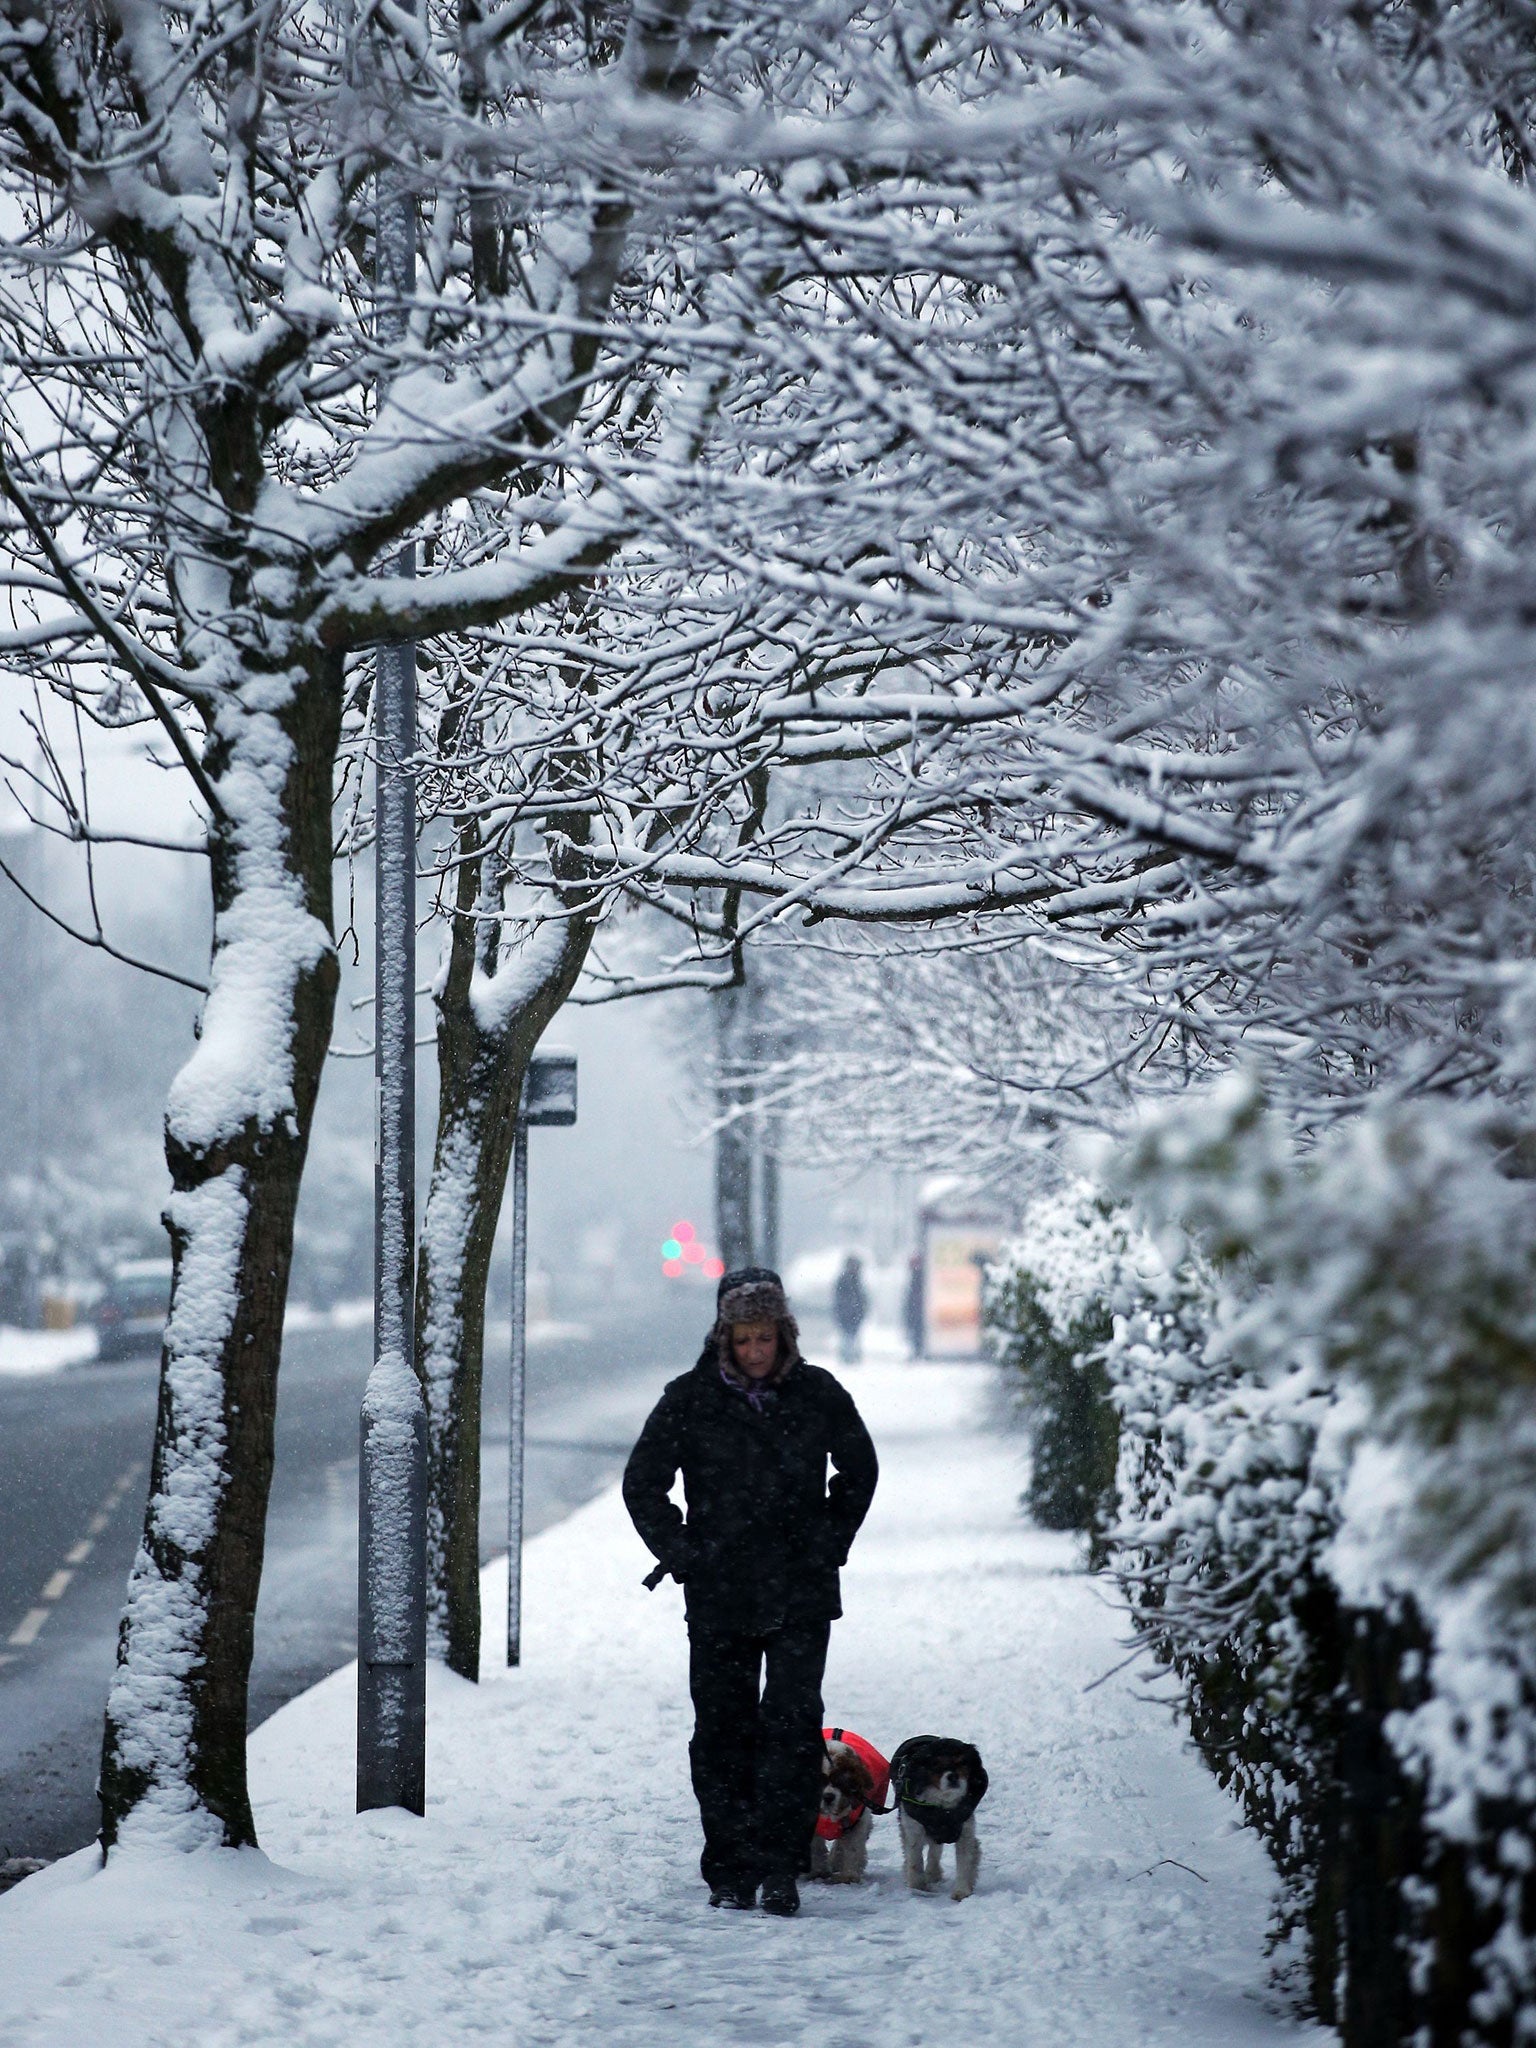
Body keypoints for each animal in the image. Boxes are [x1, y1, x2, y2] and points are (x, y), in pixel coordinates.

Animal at [806, 1728, 888, 1884]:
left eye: (841, 1783)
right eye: (820, 1780)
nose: (828, 1797)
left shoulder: (857, 1823)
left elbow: (852, 1847)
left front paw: (848, 1875)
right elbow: (815, 1846)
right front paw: (818, 1871)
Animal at [884, 1744, 991, 1900]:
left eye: (963, 1762)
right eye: (936, 1764)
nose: (953, 1776)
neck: (942, 1808)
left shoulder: (966, 1833)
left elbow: (965, 1862)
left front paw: (962, 1891)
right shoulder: (913, 1831)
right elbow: (915, 1861)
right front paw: (917, 1887)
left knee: (935, 1852)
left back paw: (933, 1874)